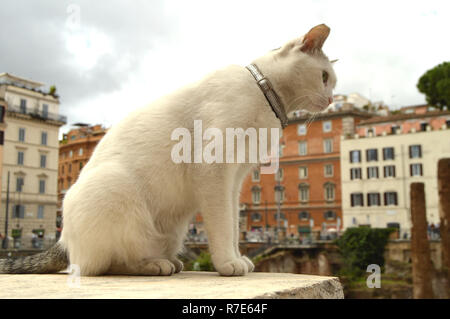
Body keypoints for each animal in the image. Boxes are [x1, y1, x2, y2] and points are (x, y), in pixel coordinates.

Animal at [0, 23, 336, 278]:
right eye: (324, 77)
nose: (332, 99)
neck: (265, 93)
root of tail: (63, 240)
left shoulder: (234, 180)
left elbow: (233, 223)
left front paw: (238, 258)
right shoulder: (214, 172)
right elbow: (222, 226)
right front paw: (227, 263)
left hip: (172, 226)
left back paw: (169, 261)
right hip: (117, 193)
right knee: (103, 265)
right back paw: (154, 265)